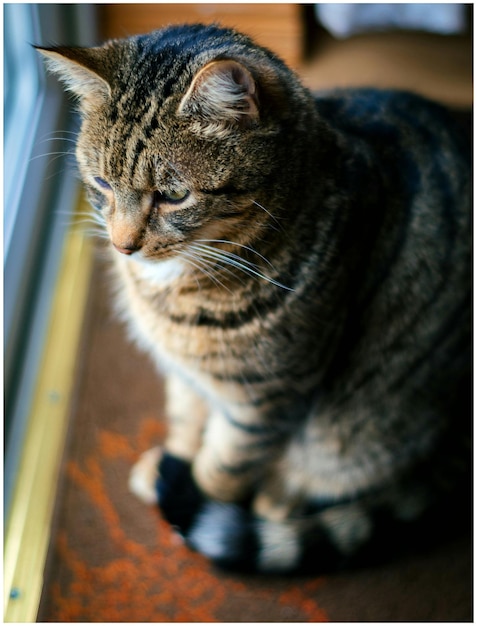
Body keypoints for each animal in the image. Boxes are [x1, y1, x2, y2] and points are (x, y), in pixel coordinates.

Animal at [36, 23, 468, 572]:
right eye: (102, 184)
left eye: (174, 196)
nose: (123, 245)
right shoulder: (185, 377)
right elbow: (185, 424)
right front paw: (168, 464)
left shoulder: (266, 399)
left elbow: (221, 468)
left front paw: (193, 500)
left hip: (363, 428)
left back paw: (276, 499)